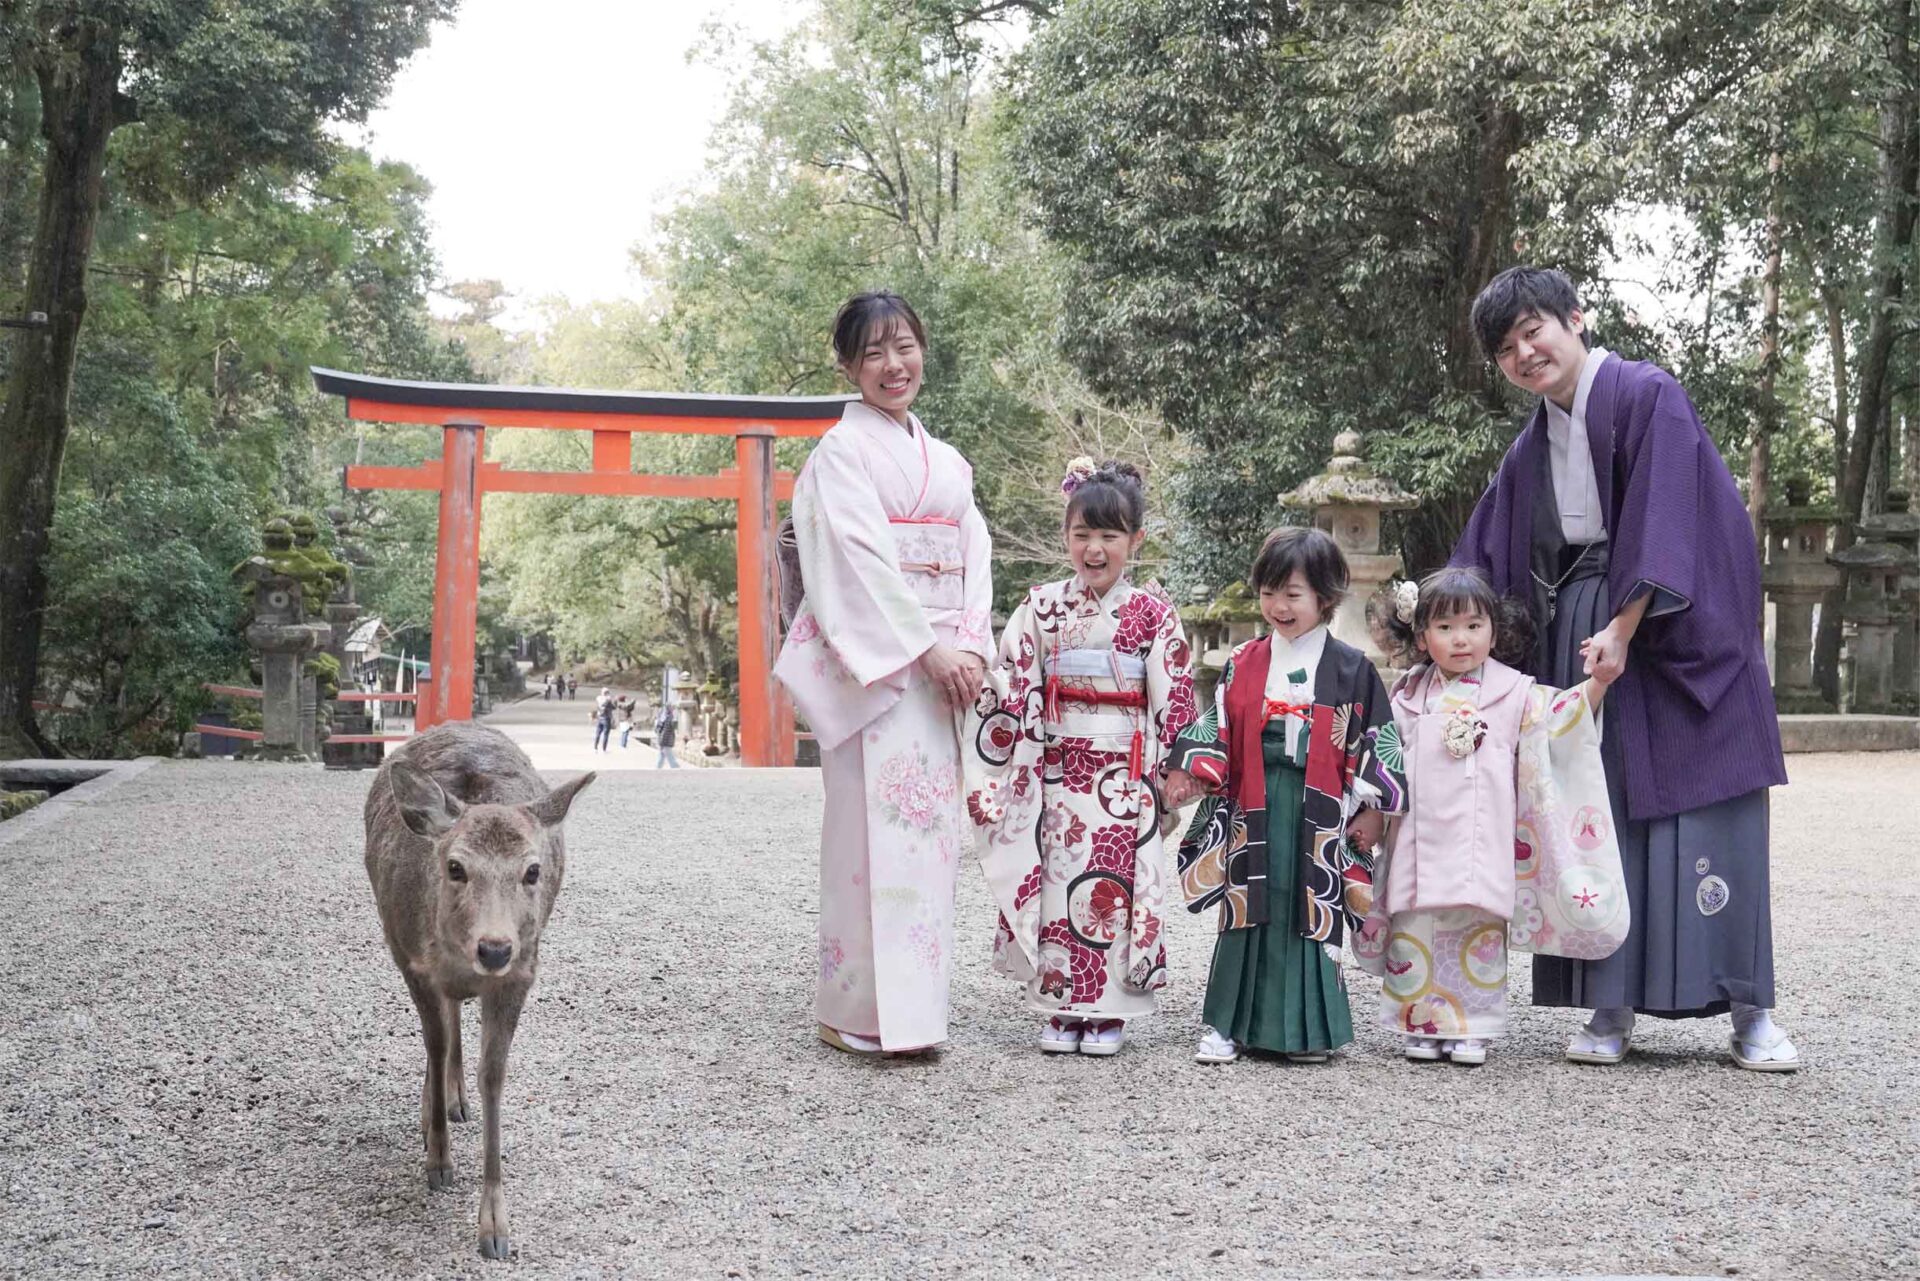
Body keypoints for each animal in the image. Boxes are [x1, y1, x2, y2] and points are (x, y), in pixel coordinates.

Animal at [362, 722, 591, 1259]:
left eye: (532, 870)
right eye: (455, 867)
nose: (494, 948)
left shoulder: (521, 974)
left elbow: (494, 1077)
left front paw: (495, 1227)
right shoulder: (415, 964)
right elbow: (437, 1042)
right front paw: (438, 1161)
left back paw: (456, 1101)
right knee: (443, 1032)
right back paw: (436, 1110)